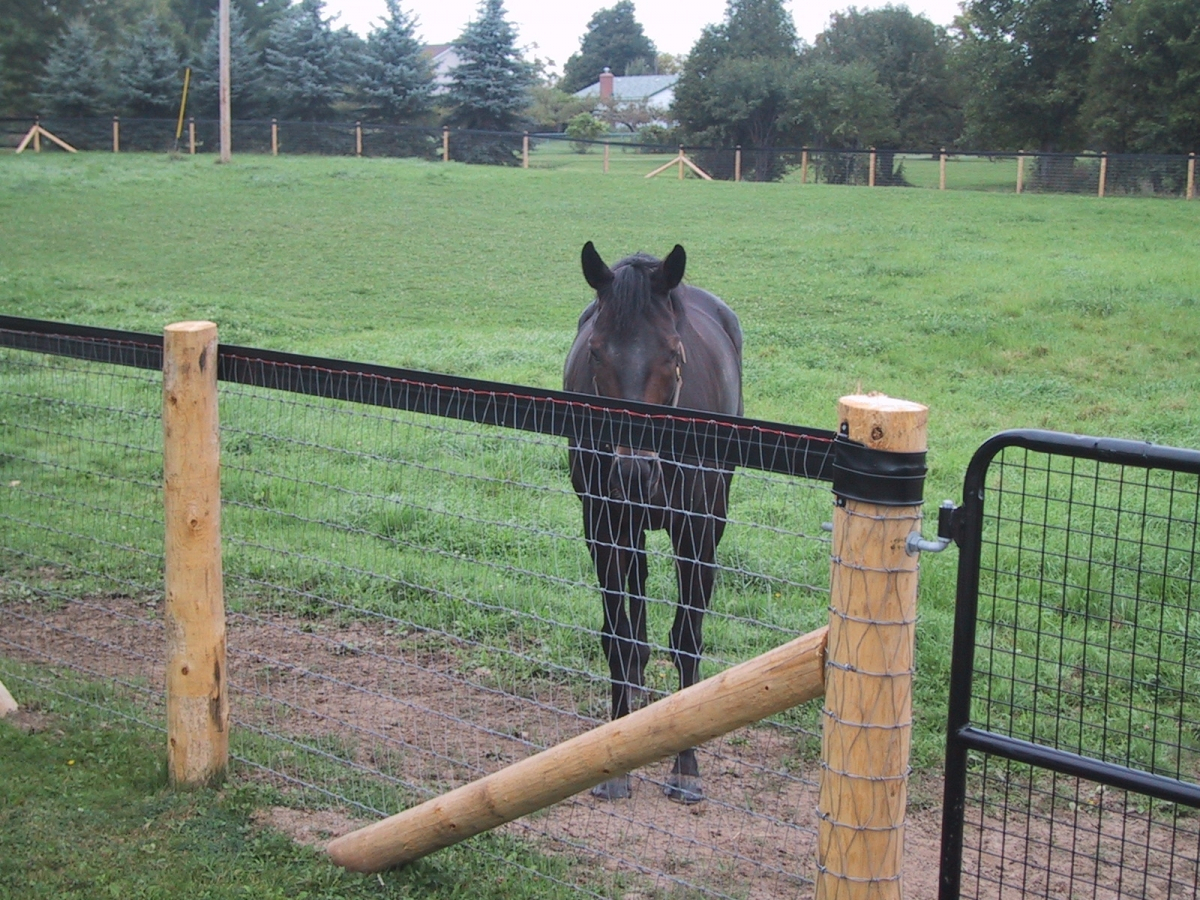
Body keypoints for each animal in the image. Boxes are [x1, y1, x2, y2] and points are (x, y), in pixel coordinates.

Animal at [561, 243, 739, 806]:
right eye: (596, 353)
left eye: (675, 354)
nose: (633, 473)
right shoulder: (603, 524)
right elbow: (618, 635)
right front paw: (615, 762)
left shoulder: (699, 531)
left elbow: (687, 639)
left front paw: (687, 766)